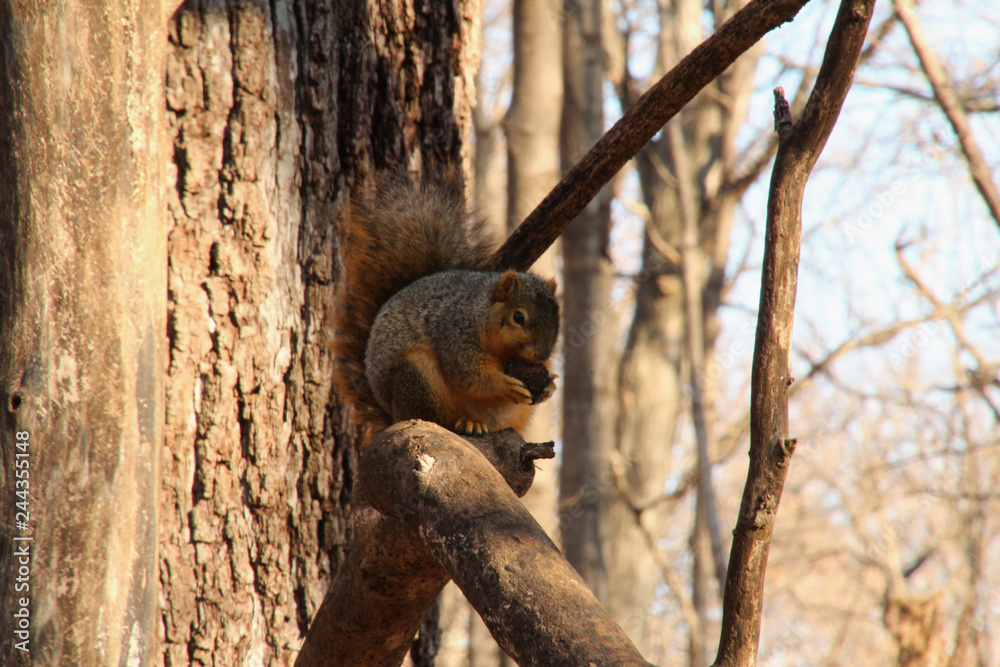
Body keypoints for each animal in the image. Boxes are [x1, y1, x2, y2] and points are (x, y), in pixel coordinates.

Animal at [333, 169, 559, 446]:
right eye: (518, 317)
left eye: (556, 319)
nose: (541, 355)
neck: (481, 313)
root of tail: (393, 414)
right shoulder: (455, 334)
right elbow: (468, 374)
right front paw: (505, 384)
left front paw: (550, 386)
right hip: (417, 377)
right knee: (436, 418)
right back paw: (467, 423)